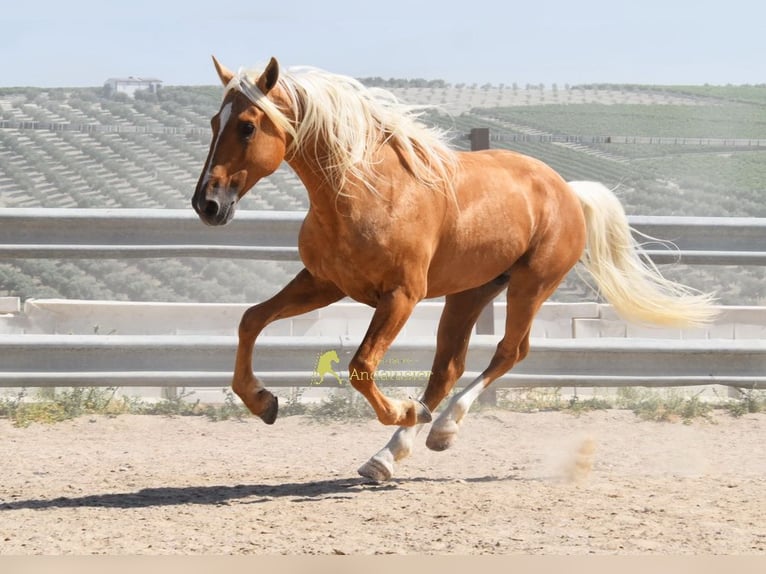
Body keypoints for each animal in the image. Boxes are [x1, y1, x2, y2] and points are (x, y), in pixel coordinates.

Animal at [192, 56, 716, 481]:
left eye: (247, 126)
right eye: (215, 120)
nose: (207, 205)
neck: (366, 190)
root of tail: (568, 190)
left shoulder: (400, 296)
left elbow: (361, 367)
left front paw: (403, 410)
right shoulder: (323, 283)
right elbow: (251, 320)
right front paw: (264, 402)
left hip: (530, 285)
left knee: (509, 352)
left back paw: (438, 429)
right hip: (472, 291)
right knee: (449, 366)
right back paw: (389, 455)